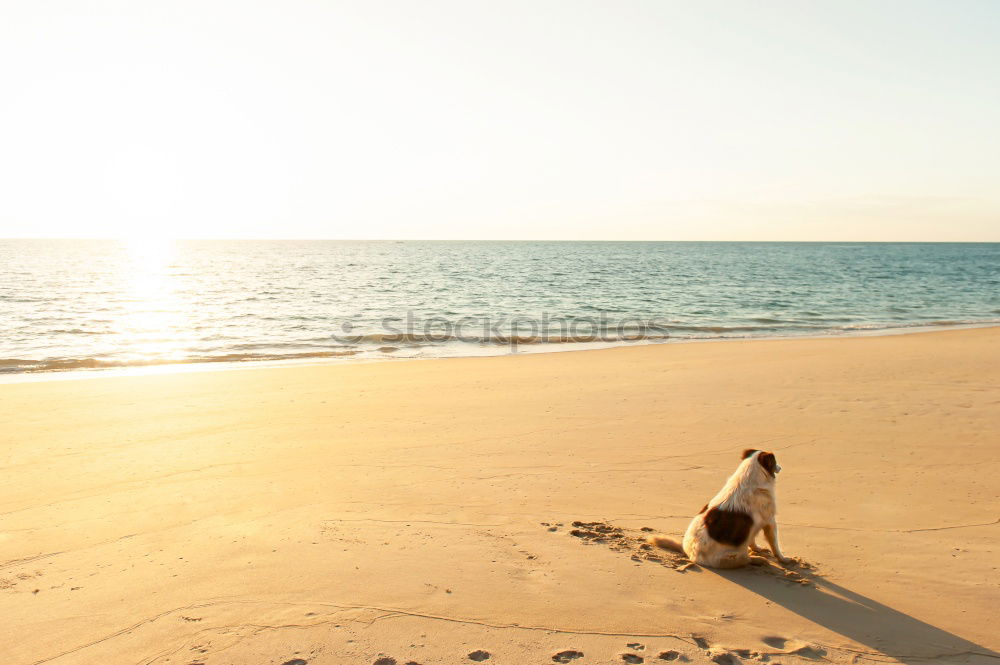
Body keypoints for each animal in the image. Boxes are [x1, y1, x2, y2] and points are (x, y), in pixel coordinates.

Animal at [652, 448, 792, 568]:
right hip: (733, 555)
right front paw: (783, 559)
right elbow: (775, 545)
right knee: (745, 560)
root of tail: (691, 555)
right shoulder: (770, 521)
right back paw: (759, 560)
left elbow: (752, 539)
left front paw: (756, 548)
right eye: (775, 462)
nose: (781, 467)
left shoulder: (753, 526)